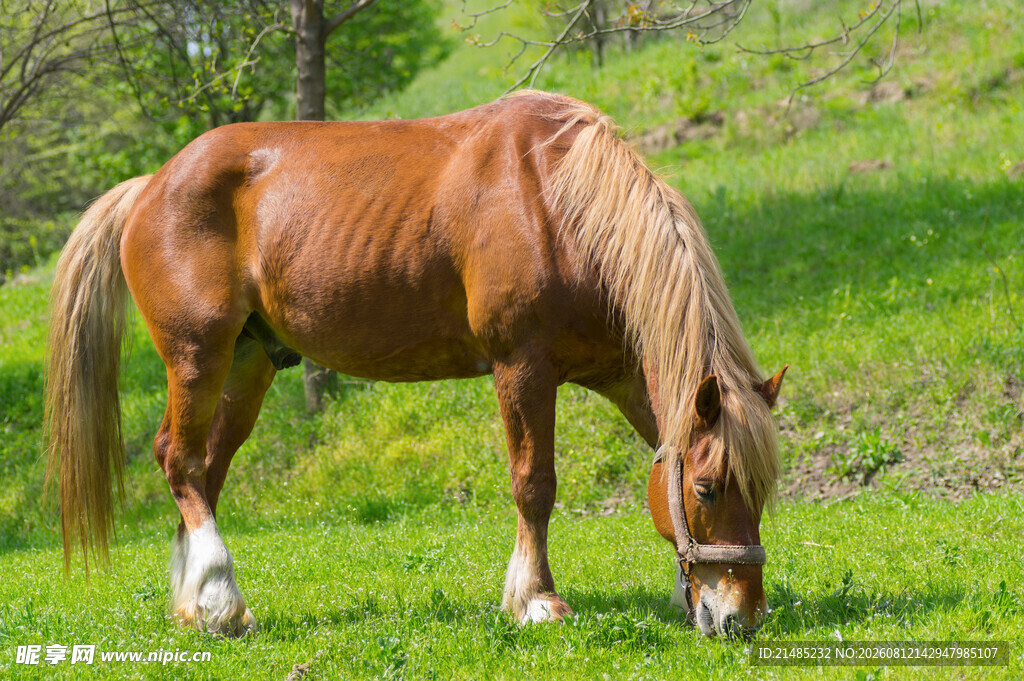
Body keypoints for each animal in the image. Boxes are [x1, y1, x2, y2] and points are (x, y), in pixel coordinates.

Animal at [45, 90, 786, 639]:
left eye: (763, 488)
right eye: (708, 488)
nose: (741, 616)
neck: (557, 202)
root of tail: (150, 185)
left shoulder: (626, 375)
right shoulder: (522, 366)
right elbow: (534, 484)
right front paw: (535, 599)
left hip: (247, 365)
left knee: (202, 468)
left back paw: (199, 606)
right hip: (198, 355)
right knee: (178, 459)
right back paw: (221, 597)